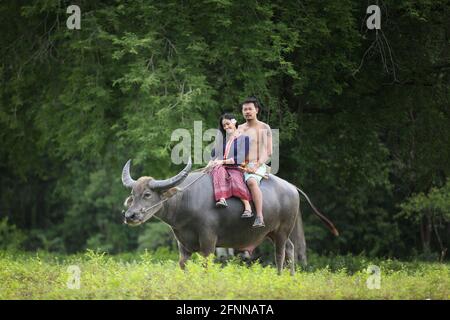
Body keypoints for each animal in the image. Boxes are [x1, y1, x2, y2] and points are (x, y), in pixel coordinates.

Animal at [121, 159, 340, 274]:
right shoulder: (182, 243)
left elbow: (207, 263)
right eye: (133, 194)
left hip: (282, 230)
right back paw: (291, 277)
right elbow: (182, 265)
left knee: (280, 253)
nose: (130, 216)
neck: (186, 200)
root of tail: (292, 187)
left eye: (147, 194)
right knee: (291, 248)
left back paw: (280, 276)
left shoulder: (208, 239)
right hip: (272, 232)